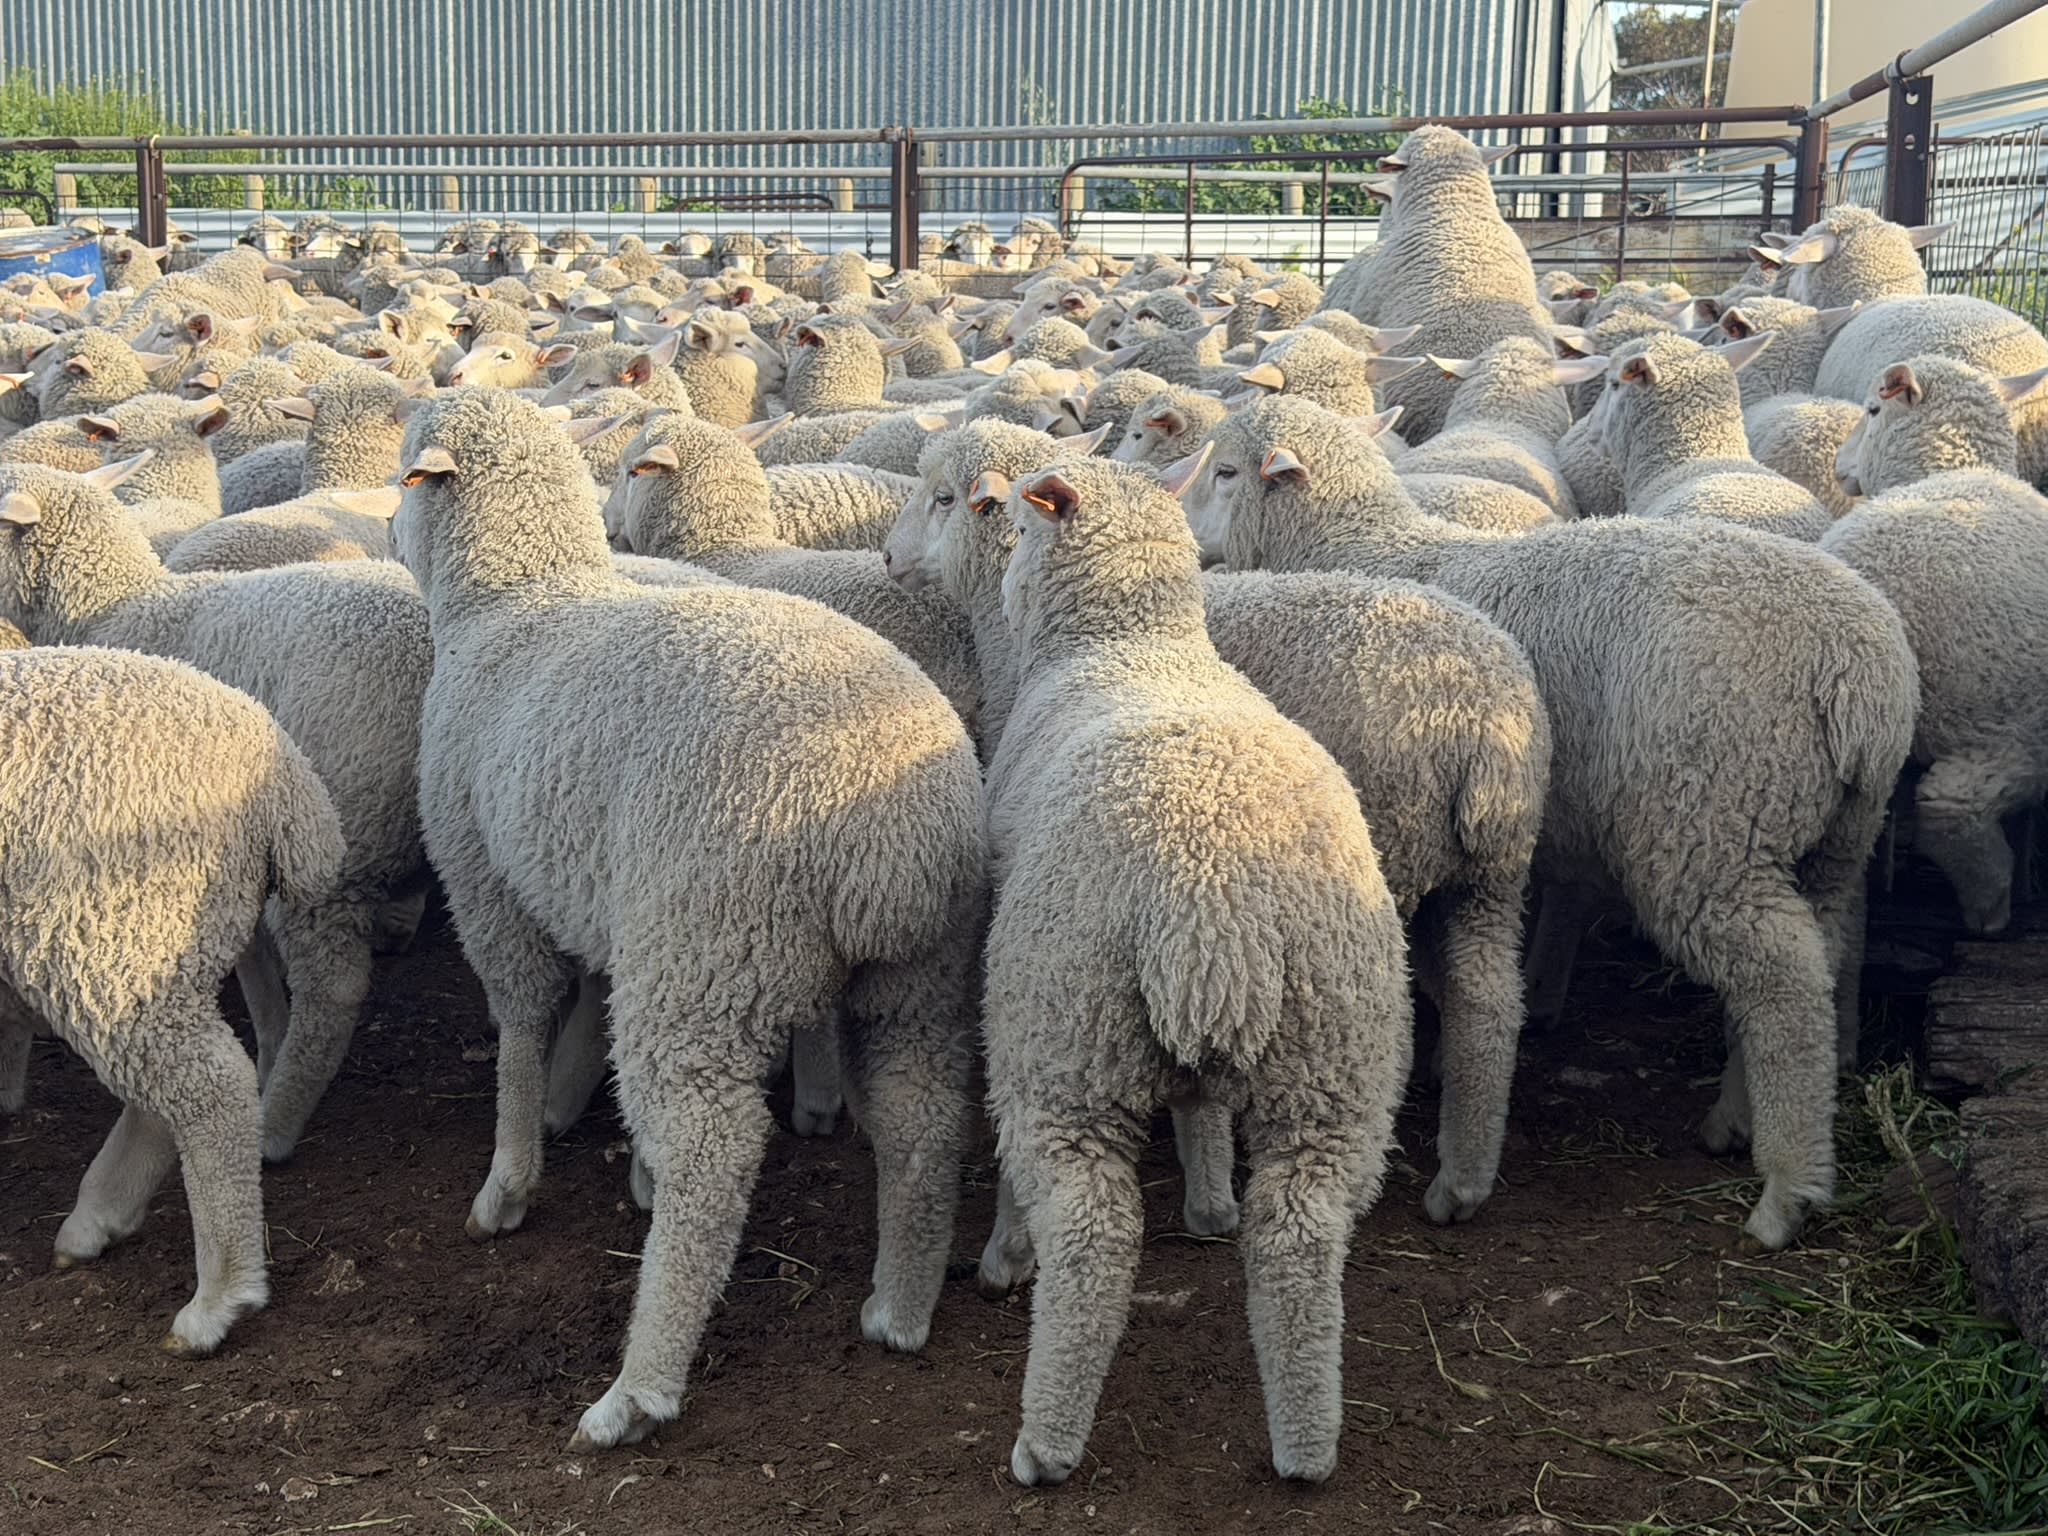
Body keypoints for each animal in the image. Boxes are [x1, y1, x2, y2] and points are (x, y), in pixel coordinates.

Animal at [0, 459, 432, 1164]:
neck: (117, 610)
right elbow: (252, 958)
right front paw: (266, 1034)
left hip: (346, 829)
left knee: (333, 988)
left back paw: (279, 1122)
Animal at [0, 643, 343, 1354]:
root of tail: (288, 780)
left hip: (113, 932)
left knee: (212, 1090)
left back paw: (218, 1301)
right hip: (149, 954)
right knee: (169, 1091)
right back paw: (97, 1219)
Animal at [972, 456, 1411, 1485]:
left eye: (1021, 526)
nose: (1002, 584)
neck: (1131, 644)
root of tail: (1212, 904)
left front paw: (1005, 1254)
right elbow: (1203, 1105)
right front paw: (1211, 1198)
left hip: (1067, 1029)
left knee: (1091, 1228)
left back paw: (1044, 1442)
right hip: (1335, 1052)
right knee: (1299, 1229)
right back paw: (1306, 1445)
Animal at [1178, 394, 1920, 1248]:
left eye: (1225, 472)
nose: (1186, 536)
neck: (1364, 550)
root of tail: (1861, 670)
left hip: (1706, 824)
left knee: (1783, 981)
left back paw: (1784, 1194)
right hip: (1828, 833)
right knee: (1817, 951)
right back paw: (1744, 1115)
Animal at [1823, 355, 2048, 934]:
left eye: (1872, 410)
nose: (1838, 465)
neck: (1942, 469)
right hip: (2002, 720)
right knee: (1955, 808)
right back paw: (1991, 913)